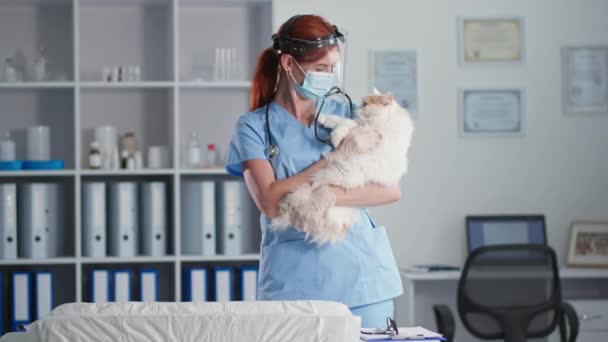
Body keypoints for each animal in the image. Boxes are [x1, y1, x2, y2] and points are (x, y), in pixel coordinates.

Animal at [274, 88, 416, 243]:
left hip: (341, 173)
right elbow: (339, 120)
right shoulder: (358, 124)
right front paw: (321, 118)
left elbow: (345, 123)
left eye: (365, 104)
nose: (356, 109)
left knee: (315, 186)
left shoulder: (367, 128)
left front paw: (335, 138)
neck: (385, 119)